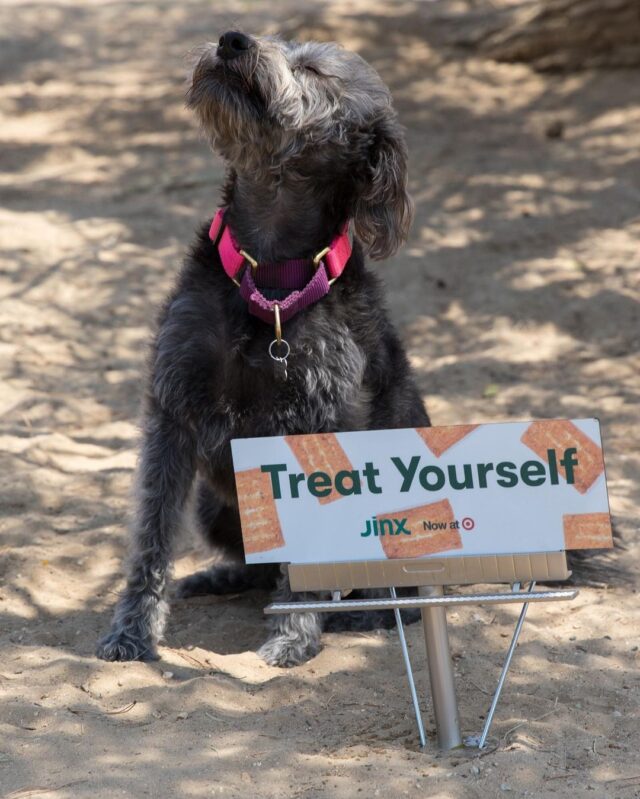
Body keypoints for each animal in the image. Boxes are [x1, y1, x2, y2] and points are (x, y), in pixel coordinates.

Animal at [95, 31, 432, 668]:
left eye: (315, 70)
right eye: (281, 42)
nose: (233, 40)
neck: (269, 276)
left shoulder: (319, 435)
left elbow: (311, 560)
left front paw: (294, 635)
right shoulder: (172, 413)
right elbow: (151, 536)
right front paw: (132, 630)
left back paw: (372, 610)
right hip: (212, 505)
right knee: (258, 564)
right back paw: (220, 578)